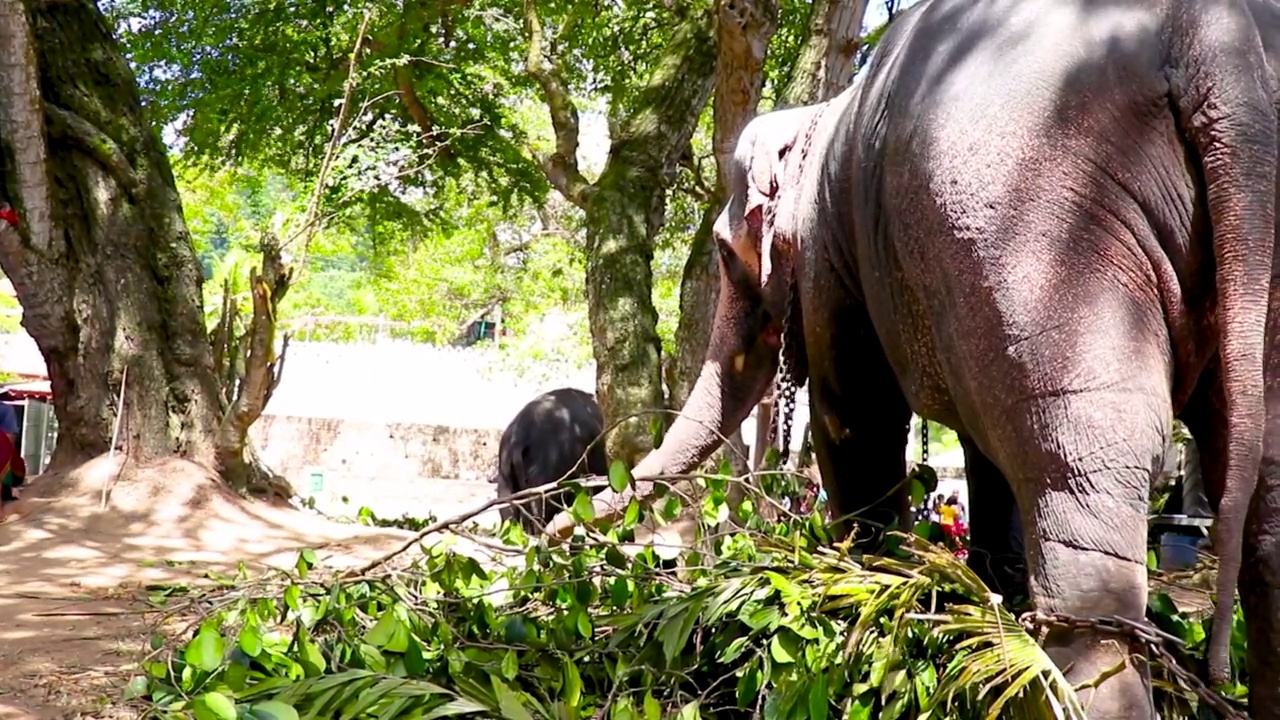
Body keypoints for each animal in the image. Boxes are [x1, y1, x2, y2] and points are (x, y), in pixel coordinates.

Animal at [547, 1, 1280, 712]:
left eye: (726, 257)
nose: (557, 525)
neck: (821, 113)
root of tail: (1213, 42)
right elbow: (985, 457)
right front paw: (975, 595)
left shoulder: (830, 255)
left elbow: (853, 418)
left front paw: (872, 594)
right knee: (1261, 504)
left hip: (1046, 233)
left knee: (1078, 467)